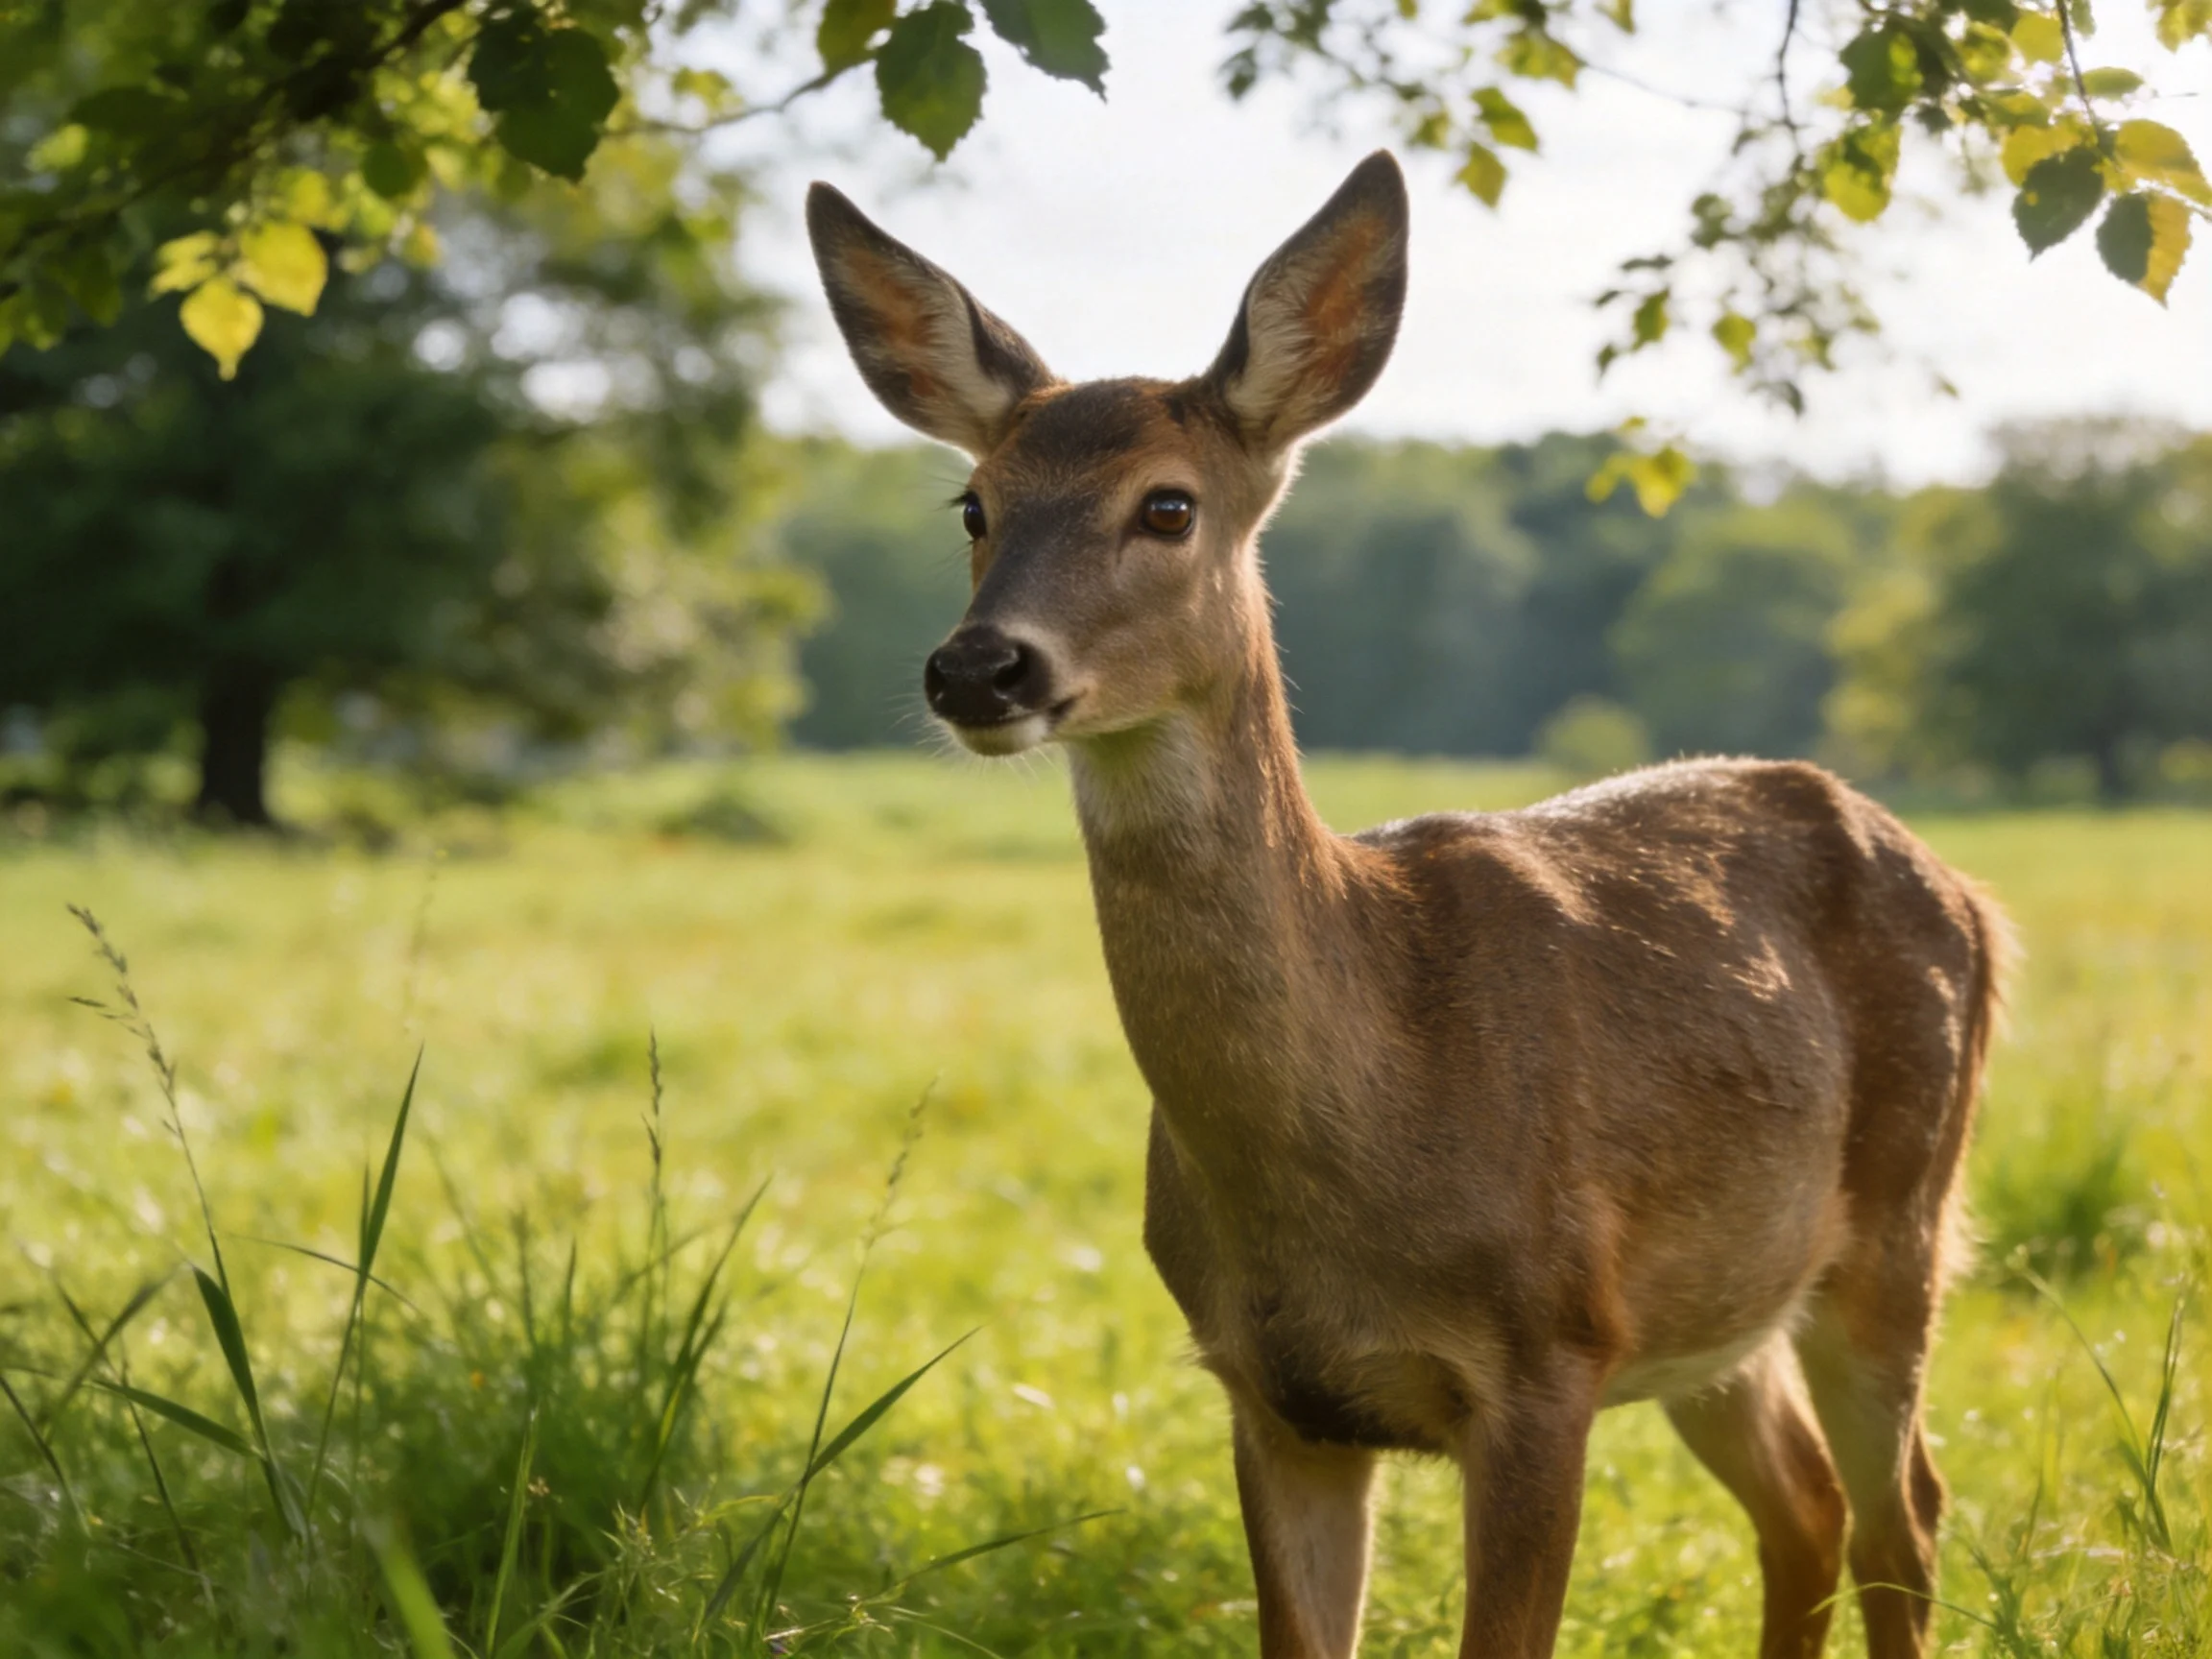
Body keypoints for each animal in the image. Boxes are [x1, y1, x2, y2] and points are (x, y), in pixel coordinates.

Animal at [807, 151, 2004, 1659]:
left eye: (1168, 505)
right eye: (973, 504)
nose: (978, 669)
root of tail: (1972, 897)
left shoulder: (1548, 1353)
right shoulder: (1269, 1391)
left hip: (1901, 1221)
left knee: (1909, 1512)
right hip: (1722, 1300)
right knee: (1810, 1508)